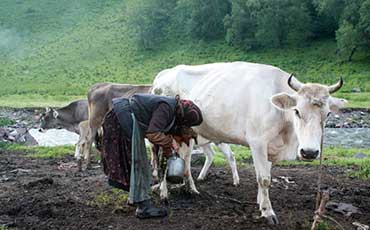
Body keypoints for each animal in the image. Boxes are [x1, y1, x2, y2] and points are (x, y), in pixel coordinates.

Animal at [151, 62, 346, 224]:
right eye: (297, 111)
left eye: (328, 114)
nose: (310, 152)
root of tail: (163, 75)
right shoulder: (257, 142)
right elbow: (264, 179)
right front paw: (267, 211)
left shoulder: (270, 147)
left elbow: (266, 174)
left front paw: (260, 201)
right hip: (165, 133)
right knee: (162, 160)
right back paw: (163, 192)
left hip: (187, 134)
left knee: (186, 159)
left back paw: (190, 189)